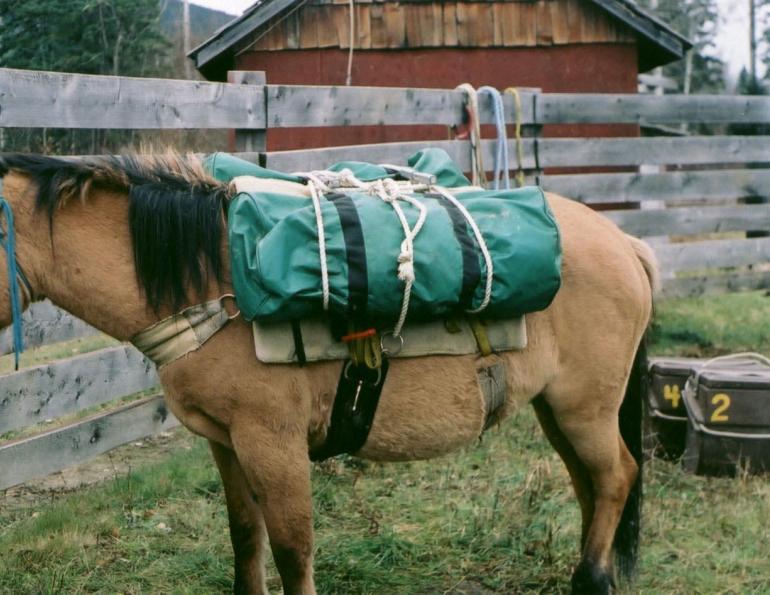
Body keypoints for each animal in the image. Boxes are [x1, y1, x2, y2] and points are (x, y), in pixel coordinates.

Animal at [0, 152, 657, 595]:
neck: (213, 285)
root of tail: (626, 243)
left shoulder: (273, 443)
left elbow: (293, 550)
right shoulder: (225, 443)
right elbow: (245, 536)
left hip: (585, 408)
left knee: (617, 477)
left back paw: (591, 579)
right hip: (557, 410)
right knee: (590, 485)